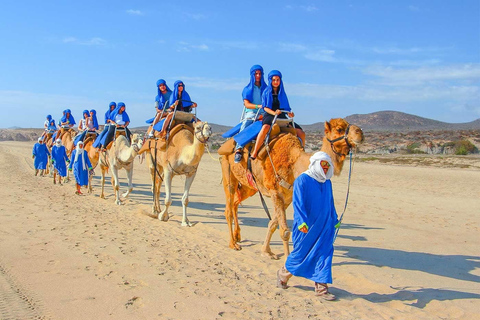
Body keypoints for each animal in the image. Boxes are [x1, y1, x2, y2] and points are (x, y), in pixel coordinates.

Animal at [218, 119, 364, 258]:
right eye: (339, 129)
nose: (360, 133)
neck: (294, 164)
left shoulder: (288, 196)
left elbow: (273, 224)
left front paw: (266, 251)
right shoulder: (276, 192)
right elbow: (285, 231)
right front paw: (285, 261)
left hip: (250, 185)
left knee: (236, 202)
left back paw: (237, 236)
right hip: (228, 170)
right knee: (228, 207)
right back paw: (233, 243)